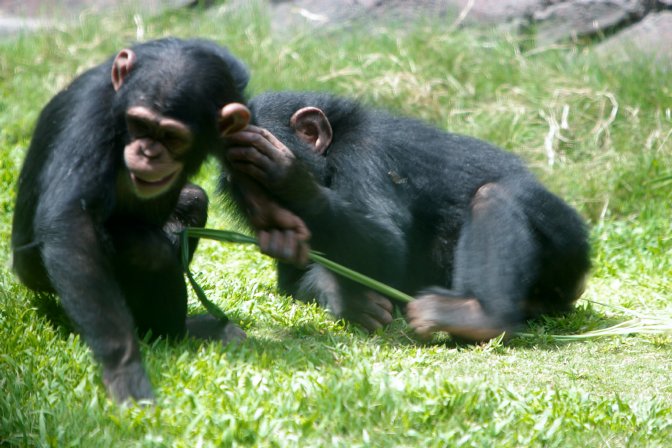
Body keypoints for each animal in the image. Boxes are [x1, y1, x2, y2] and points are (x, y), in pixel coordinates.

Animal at [12, 38, 255, 402]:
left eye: (172, 138)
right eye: (140, 125)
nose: (148, 151)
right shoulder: (90, 112)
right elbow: (71, 222)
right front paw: (123, 367)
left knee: (192, 201)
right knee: (147, 250)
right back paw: (179, 332)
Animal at [224, 92, 588, 344]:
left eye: (259, 182)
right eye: (245, 193)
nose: (269, 210)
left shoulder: (365, 154)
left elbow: (386, 245)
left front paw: (289, 178)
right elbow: (292, 282)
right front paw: (349, 301)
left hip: (567, 248)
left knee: (493, 196)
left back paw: (481, 318)